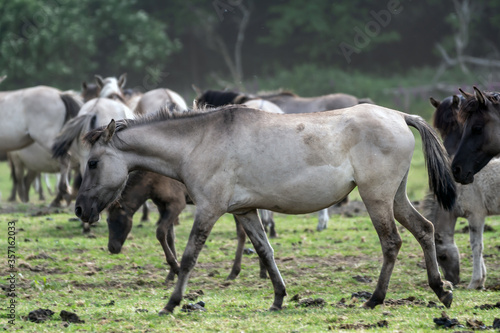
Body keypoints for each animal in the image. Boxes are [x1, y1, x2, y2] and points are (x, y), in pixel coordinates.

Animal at [75, 102, 458, 312]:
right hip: (396, 198)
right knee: (424, 230)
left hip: (376, 198)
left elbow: (188, 257)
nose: (79, 210)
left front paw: (171, 303)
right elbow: (265, 250)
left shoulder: (209, 210)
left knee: (392, 243)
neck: (199, 141)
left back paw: (375, 299)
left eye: (92, 163)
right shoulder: (244, 212)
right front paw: (278, 297)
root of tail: (400, 116)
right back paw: (441, 290)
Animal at [426, 94, 500, 290]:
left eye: (442, 256)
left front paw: (475, 282)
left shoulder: (476, 214)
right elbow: (475, 243)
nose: (453, 281)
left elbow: (476, 245)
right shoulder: (473, 217)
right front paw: (481, 280)